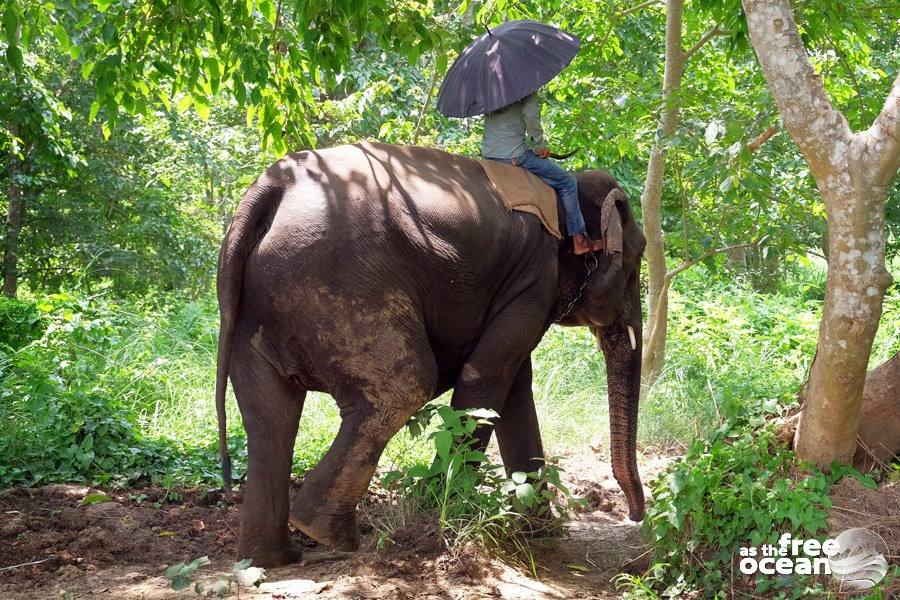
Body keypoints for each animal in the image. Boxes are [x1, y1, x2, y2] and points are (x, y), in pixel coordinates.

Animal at [214, 142, 644, 568]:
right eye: (635, 261)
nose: (634, 516)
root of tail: (272, 189)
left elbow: (515, 385)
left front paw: (539, 534)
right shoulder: (535, 279)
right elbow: (488, 376)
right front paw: (439, 513)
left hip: (254, 301)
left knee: (270, 419)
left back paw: (272, 559)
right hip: (340, 282)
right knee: (402, 388)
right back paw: (325, 533)